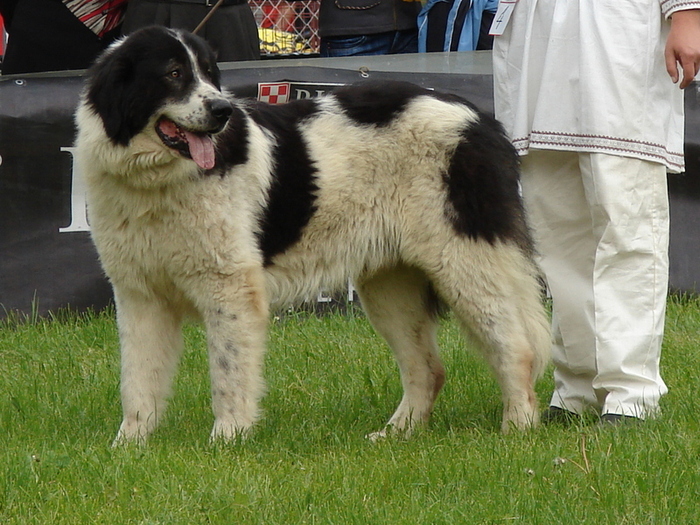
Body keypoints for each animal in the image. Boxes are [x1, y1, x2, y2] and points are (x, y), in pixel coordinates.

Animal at [74, 25, 548, 442]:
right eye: (173, 73)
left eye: (208, 73)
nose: (222, 111)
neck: (154, 181)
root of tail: (480, 119)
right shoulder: (139, 296)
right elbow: (138, 381)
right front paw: (130, 446)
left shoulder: (229, 288)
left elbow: (228, 373)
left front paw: (227, 439)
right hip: (391, 286)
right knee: (428, 369)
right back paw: (397, 434)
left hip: (465, 261)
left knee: (516, 346)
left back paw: (518, 427)